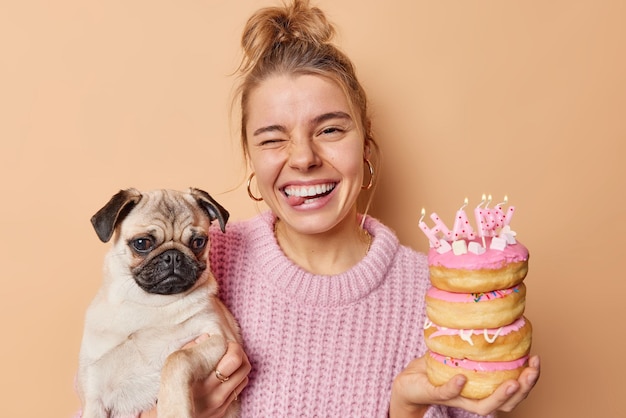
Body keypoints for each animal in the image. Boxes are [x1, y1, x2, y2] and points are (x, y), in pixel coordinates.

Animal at [77, 189, 241, 418]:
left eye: (198, 242)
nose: (173, 256)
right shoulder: (94, 397)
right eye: (142, 243)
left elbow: (177, 358)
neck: (149, 305)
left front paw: (173, 409)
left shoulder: (218, 338)